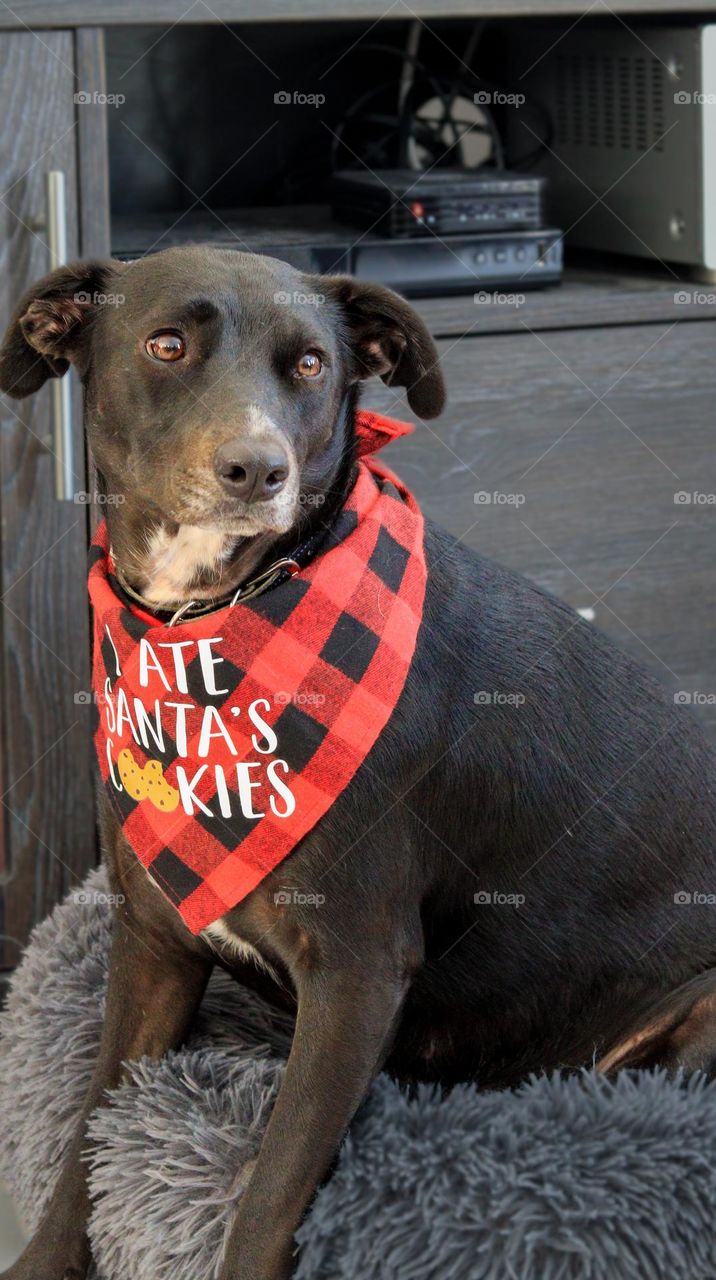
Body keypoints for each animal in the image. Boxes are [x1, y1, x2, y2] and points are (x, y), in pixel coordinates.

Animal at [1, 241, 716, 1280]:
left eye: (311, 366)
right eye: (166, 344)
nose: (257, 468)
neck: (215, 620)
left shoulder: (356, 973)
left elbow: (266, 1198)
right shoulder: (152, 942)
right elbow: (88, 1138)